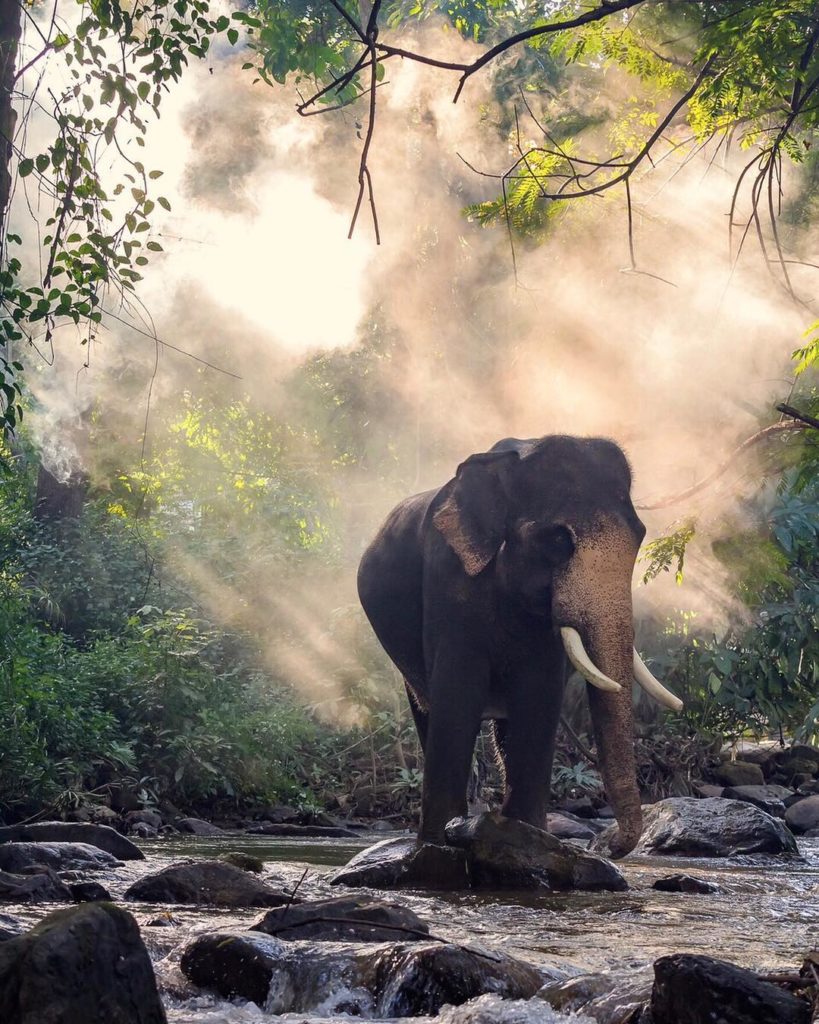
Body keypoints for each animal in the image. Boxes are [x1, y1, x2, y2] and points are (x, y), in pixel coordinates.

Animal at [357, 434, 682, 859]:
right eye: (559, 539)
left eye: (641, 534)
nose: (605, 845)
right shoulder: (448, 583)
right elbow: (457, 693)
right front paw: (439, 847)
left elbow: (538, 695)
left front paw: (526, 838)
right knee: (426, 708)